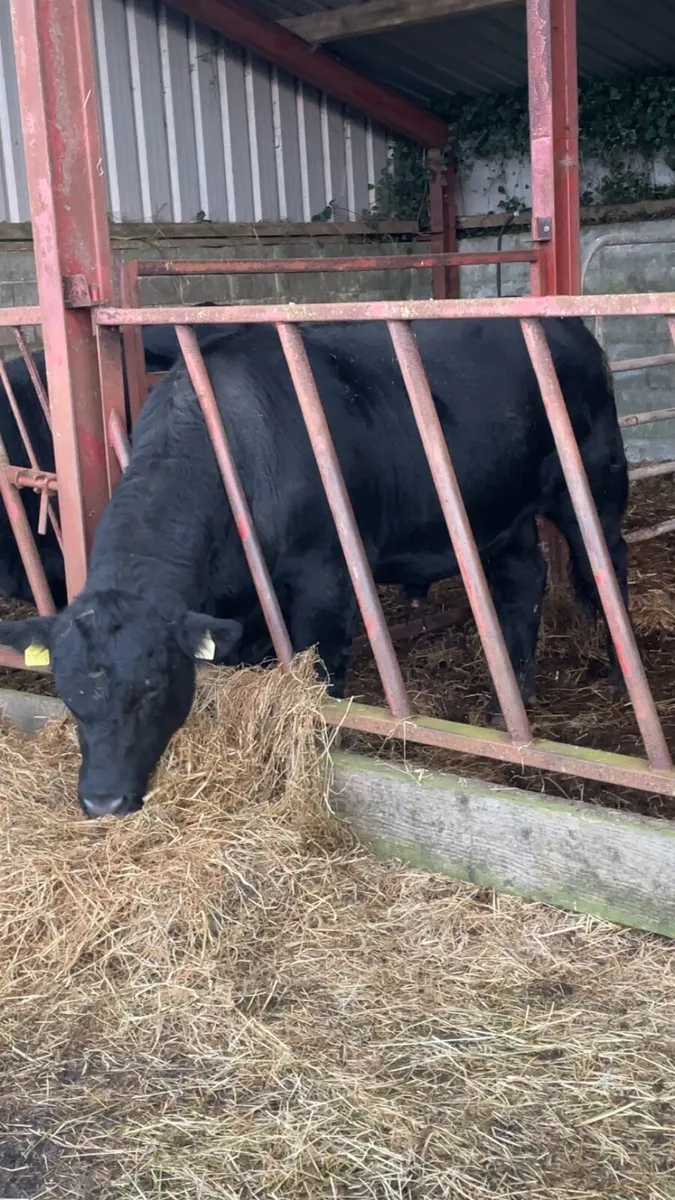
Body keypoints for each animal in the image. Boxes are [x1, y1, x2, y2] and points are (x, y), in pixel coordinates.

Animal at [0, 317, 629, 819]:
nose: (101, 800)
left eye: (152, 686)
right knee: (520, 584)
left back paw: (620, 680)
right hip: (495, 513)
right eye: (67, 692)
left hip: (592, 488)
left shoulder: (322, 579)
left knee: (607, 571)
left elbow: (322, 676)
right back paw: (510, 702)